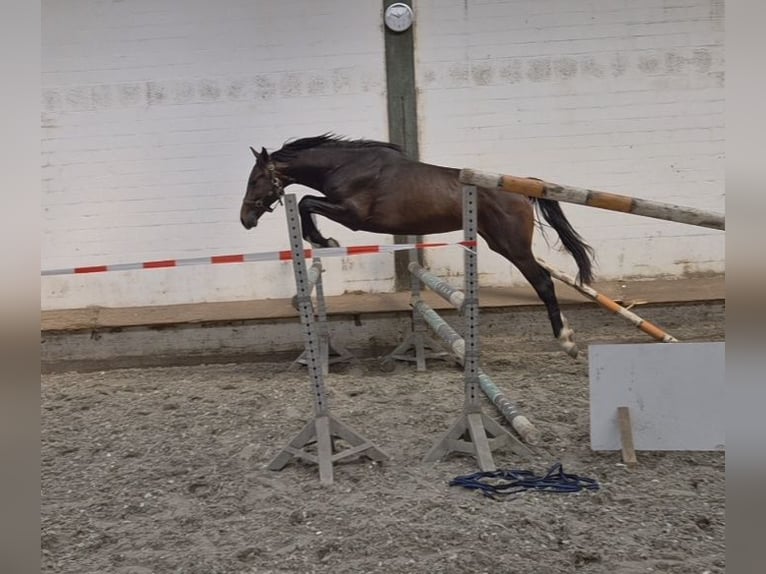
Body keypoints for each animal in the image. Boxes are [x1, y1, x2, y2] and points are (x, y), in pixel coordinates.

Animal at [240, 134, 595, 358]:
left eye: (256, 179)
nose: (245, 219)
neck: (346, 167)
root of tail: (523, 187)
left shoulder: (353, 214)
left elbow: (306, 202)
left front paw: (323, 239)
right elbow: (306, 203)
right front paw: (322, 239)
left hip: (513, 247)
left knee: (544, 283)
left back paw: (566, 341)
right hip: (499, 243)